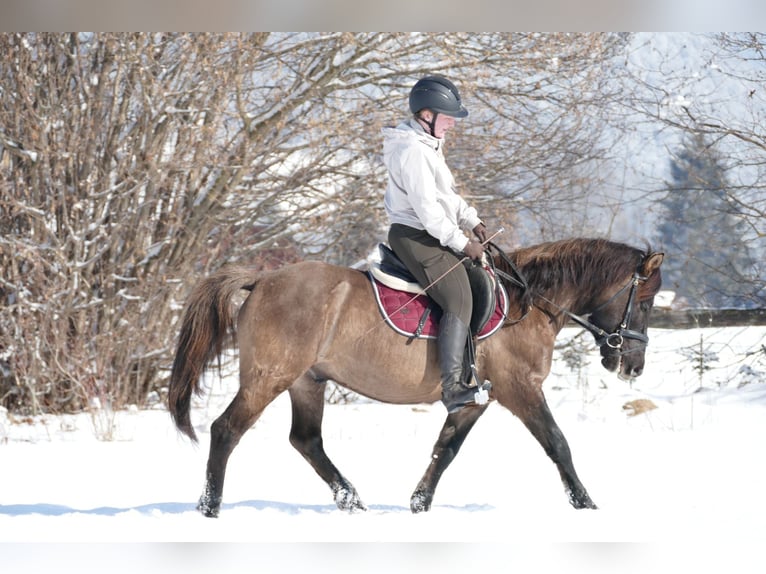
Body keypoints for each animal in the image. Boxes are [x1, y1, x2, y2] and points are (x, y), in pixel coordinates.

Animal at [170, 236, 664, 520]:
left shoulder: (475, 400)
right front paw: (587, 505)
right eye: (644, 300)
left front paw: (419, 504)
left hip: (307, 381)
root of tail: (261, 280)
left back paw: (352, 501)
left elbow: (445, 450)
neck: (529, 304)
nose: (633, 367)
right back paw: (209, 509)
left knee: (306, 441)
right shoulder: (520, 390)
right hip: (268, 377)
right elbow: (557, 444)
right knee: (226, 429)